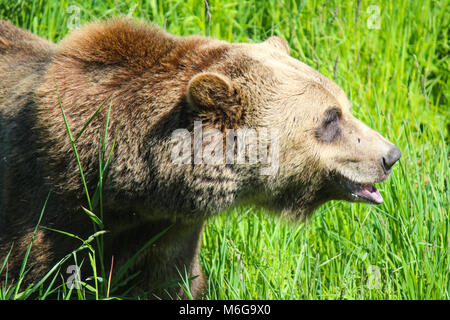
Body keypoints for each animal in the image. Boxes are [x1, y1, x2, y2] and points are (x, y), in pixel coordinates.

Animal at [0, 16, 400, 298]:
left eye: (344, 106)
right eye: (330, 119)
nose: (391, 156)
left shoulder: (169, 232)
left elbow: (171, 285)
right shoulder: (41, 211)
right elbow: (34, 273)